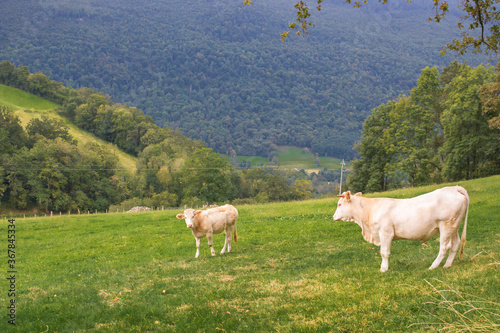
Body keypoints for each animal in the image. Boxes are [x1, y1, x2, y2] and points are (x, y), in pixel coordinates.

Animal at [332, 185, 468, 272]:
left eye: (339, 204)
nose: (333, 217)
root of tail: (454, 188)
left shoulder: (385, 233)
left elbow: (384, 252)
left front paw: (383, 269)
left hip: (446, 225)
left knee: (445, 247)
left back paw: (433, 266)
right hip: (454, 226)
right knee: (455, 244)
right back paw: (447, 265)